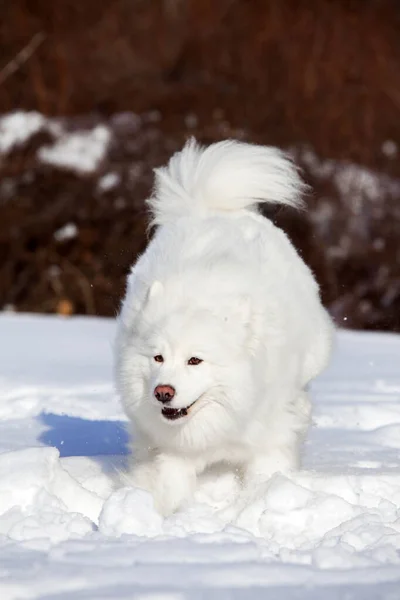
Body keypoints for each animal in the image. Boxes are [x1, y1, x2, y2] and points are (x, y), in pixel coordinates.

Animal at [115, 137, 334, 516]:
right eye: (158, 358)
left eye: (195, 360)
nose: (163, 392)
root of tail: (212, 209)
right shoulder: (167, 447)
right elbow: (167, 482)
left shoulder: (270, 437)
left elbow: (265, 475)